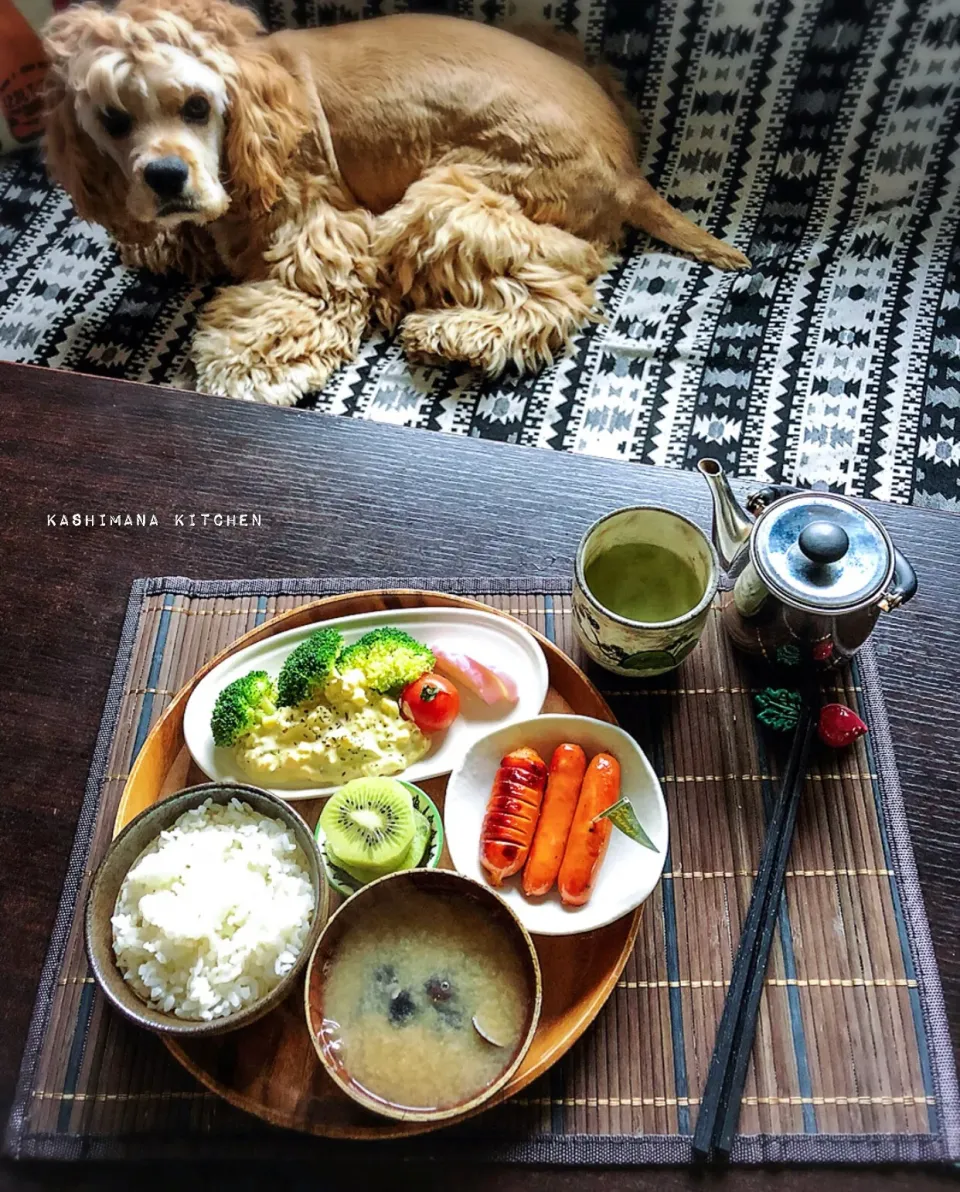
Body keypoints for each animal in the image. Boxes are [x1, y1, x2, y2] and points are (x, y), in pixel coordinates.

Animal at [42, 0, 748, 405]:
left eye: (195, 105)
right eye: (113, 120)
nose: (164, 176)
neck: (256, 107)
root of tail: (630, 172)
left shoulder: (319, 231)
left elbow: (292, 305)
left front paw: (242, 371)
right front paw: (163, 241)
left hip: (443, 203)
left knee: (556, 289)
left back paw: (453, 333)